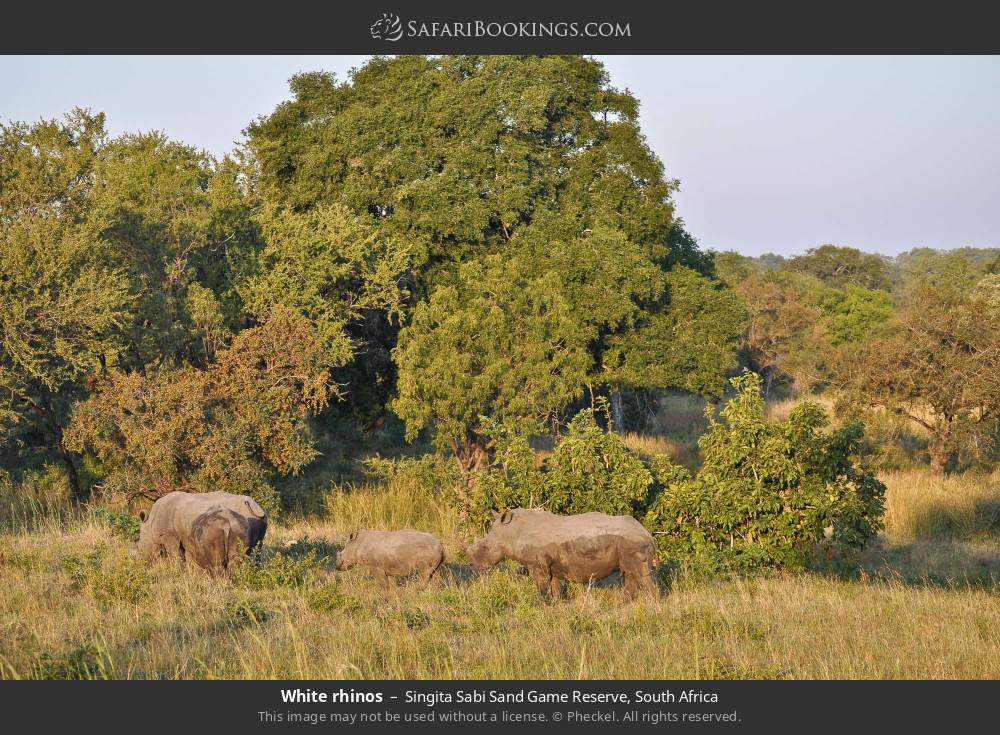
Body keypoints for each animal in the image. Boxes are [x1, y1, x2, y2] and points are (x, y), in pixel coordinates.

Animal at [136, 491, 268, 566]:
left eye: (140, 544)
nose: (141, 561)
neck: (151, 522)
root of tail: (256, 507)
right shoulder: (183, 536)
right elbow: (185, 555)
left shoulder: (170, 535)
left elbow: (175, 554)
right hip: (259, 520)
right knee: (256, 548)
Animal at [465, 508, 657, 600]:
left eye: (485, 546)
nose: (473, 566)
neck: (512, 531)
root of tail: (646, 531)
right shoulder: (550, 565)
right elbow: (554, 585)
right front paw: (556, 603)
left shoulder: (538, 564)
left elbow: (541, 586)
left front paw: (541, 603)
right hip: (629, 542)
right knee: (630, 573)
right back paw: (625, 602)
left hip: (632, 541)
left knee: (639, 573)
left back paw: (651, 605)